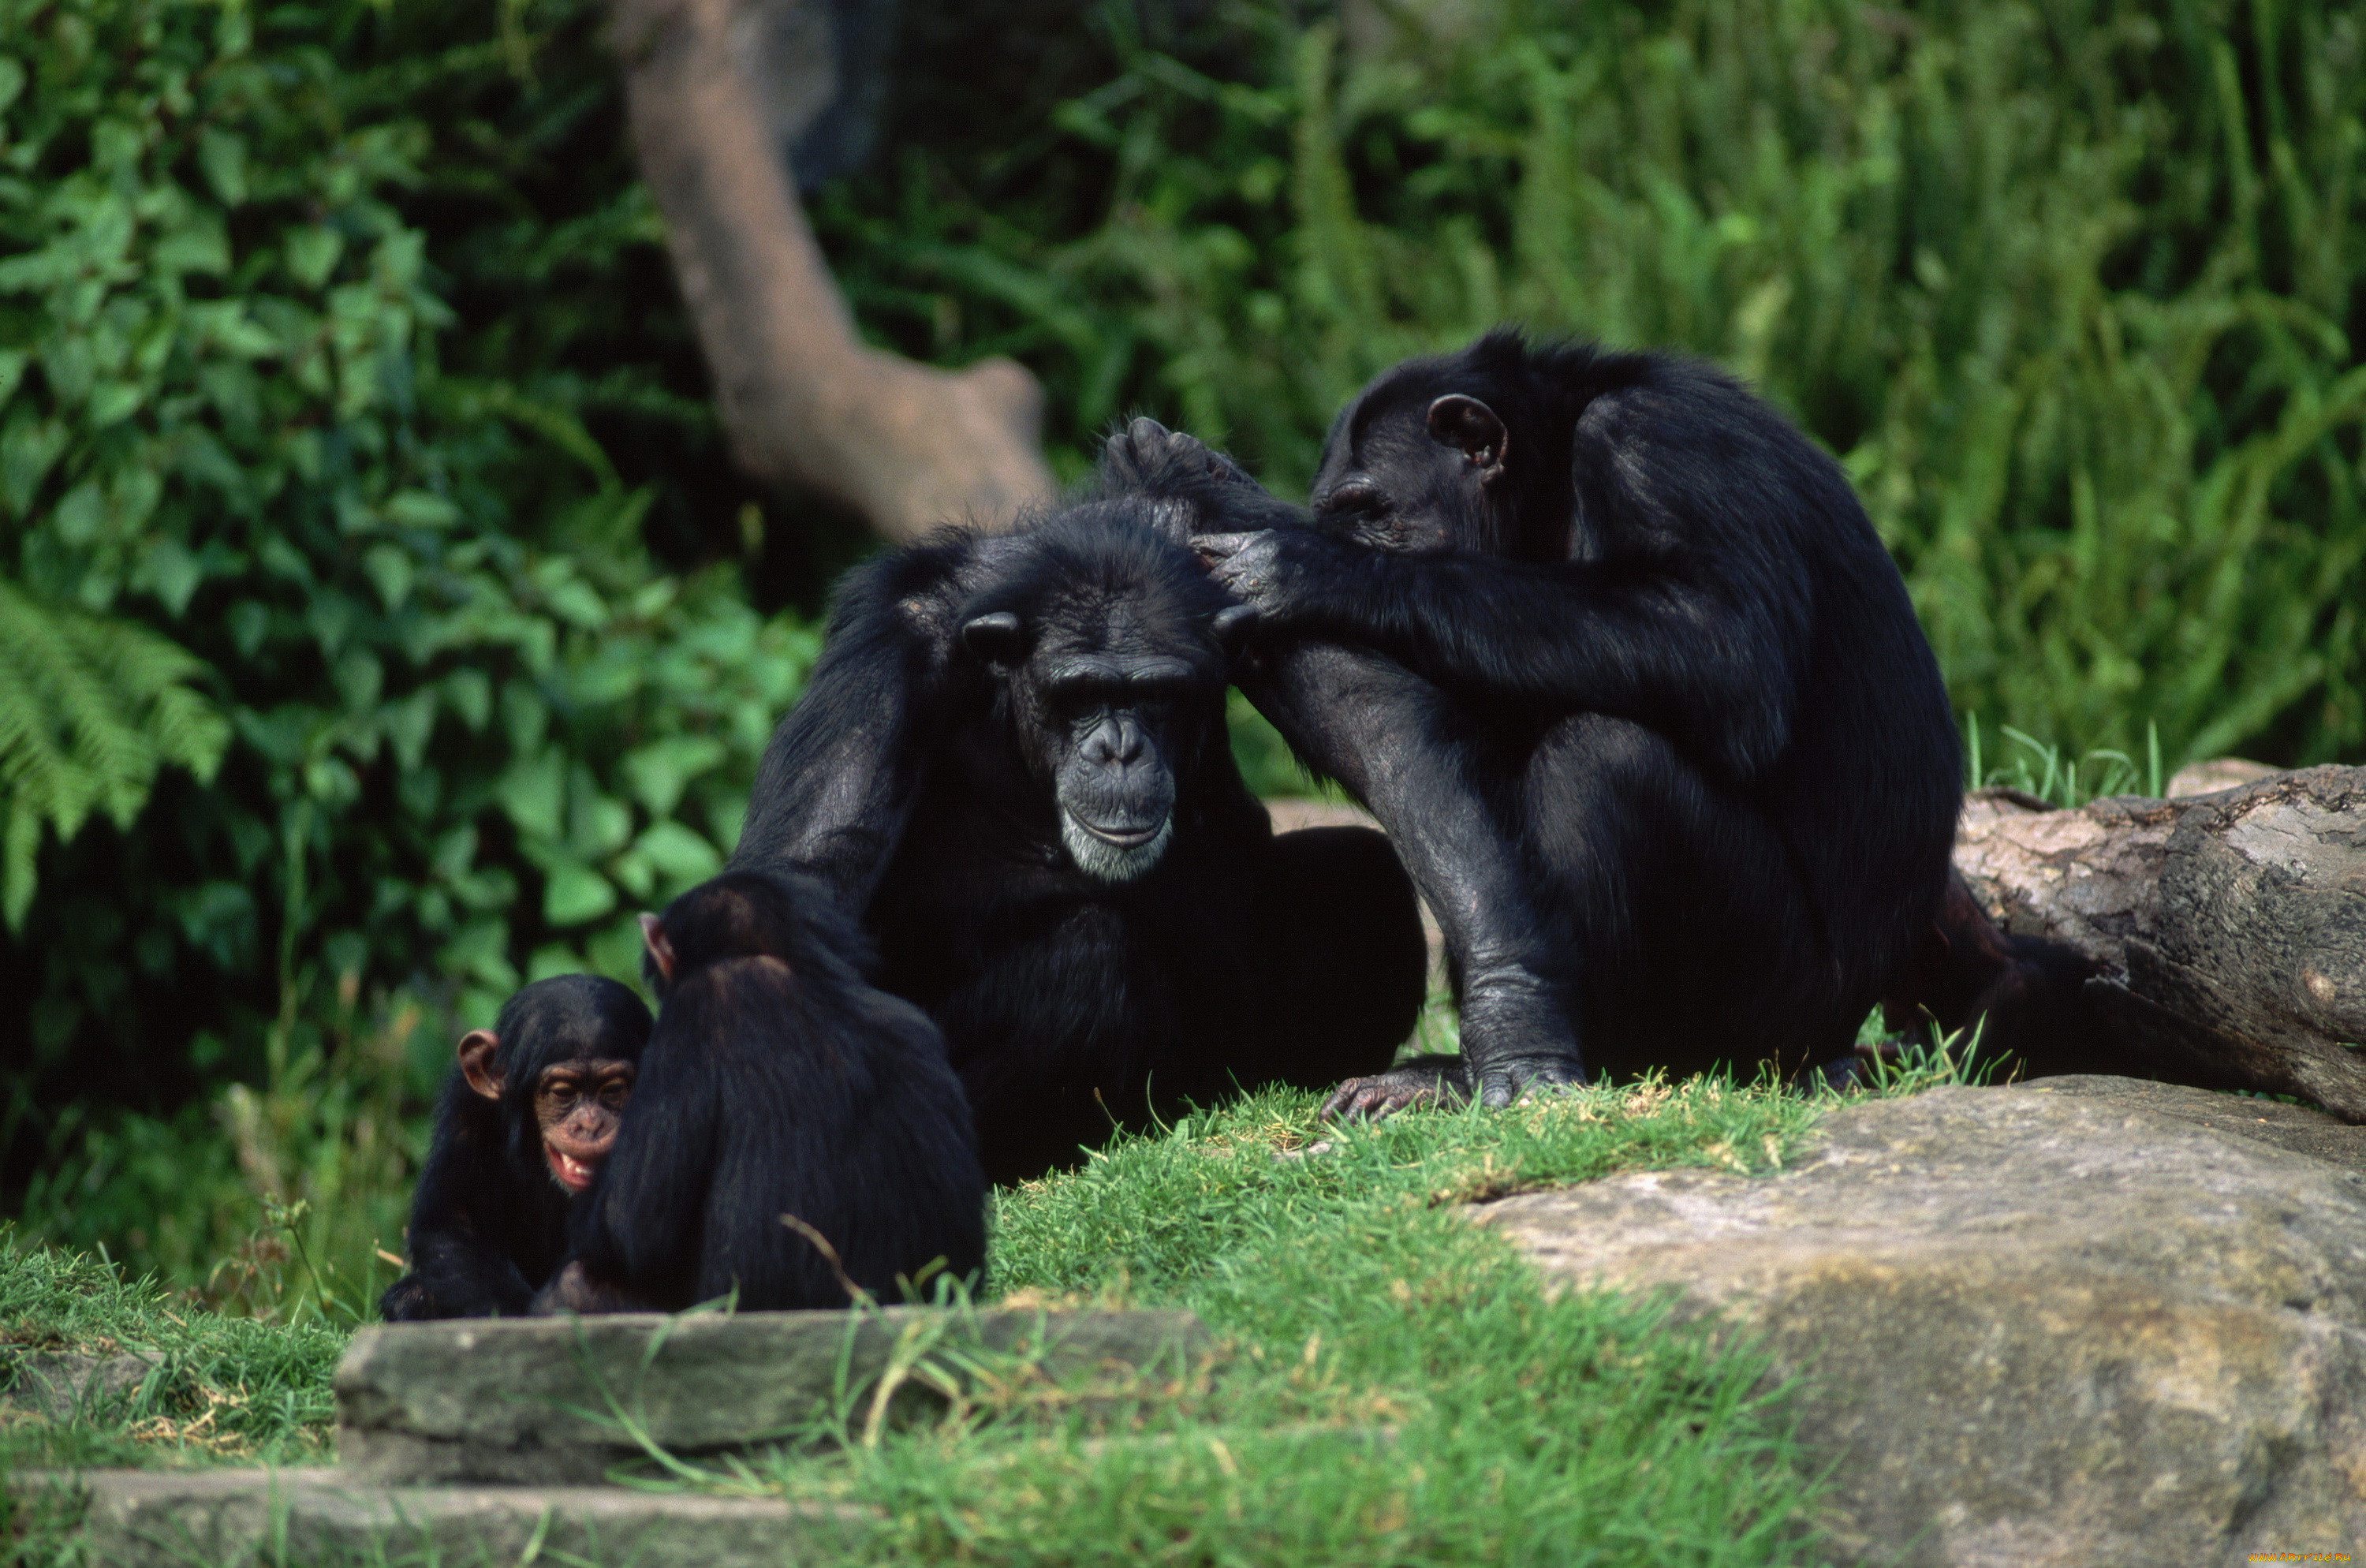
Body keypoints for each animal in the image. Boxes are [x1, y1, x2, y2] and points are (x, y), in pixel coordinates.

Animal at [724, 496, 1420, 1182]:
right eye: (1082, 694)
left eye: (1156, 693)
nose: (1120, 749)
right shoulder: (891, 645)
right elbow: (808, 869)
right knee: (1090, 954)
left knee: (1363, 871)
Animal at [1103, 328, 1959, 1116]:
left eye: (1370, 512)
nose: (1341, 539)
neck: (1552, 480)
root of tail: (1841, 1042)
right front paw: (1194, 481)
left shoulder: (1655, 443)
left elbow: (1724, 645)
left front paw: (1311, 566)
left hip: (1774, 1006)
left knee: (1605, 758)